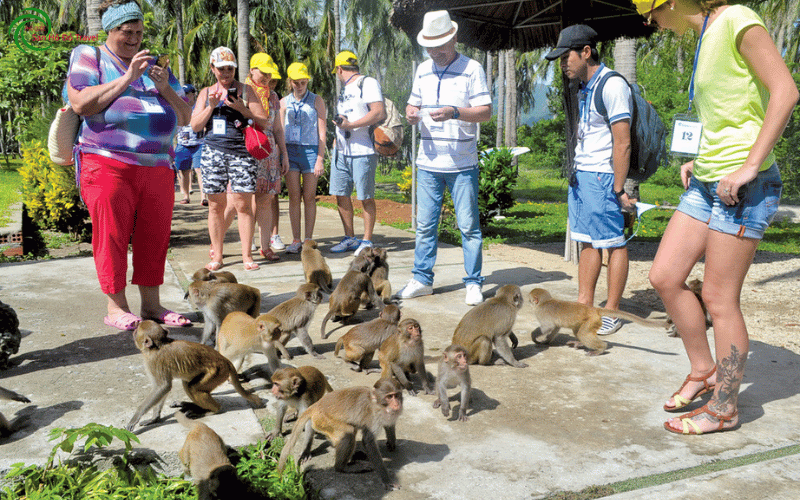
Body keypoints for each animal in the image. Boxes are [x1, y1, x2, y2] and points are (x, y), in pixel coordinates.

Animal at [127, 322, 266, 432]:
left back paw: (212, 410)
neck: (157, 346)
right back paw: (194, 406)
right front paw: (154, 418)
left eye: (137, 330)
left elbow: (163, 387)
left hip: (217, 372)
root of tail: (225, 360)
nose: (133, 330)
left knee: (192, 387)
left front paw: (135, 417)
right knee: (187, 384)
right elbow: (164, 388)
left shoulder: (154, 362)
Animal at [276, 376, 404, 490]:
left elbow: (389, 425)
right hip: (323, 420)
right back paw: (342, 468)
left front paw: (391, 442)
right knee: (349, 432)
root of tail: (315, 405)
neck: (377, 403)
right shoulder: (374, 416)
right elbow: (369, 442)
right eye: (389, 396)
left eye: (397, 395)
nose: (397, 404)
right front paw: (387, 480)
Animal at [528, 286, 672, 356]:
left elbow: (547, 327)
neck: (545, 301)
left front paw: (535, 337)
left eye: (530, 300)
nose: (528, 302)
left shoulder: (541, 312)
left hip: (592, 321)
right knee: (578, 332)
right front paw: (547, 341)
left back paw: (600, 349)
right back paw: (581, 343)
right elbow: (555, 328)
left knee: (583, 334)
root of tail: (594, 309)